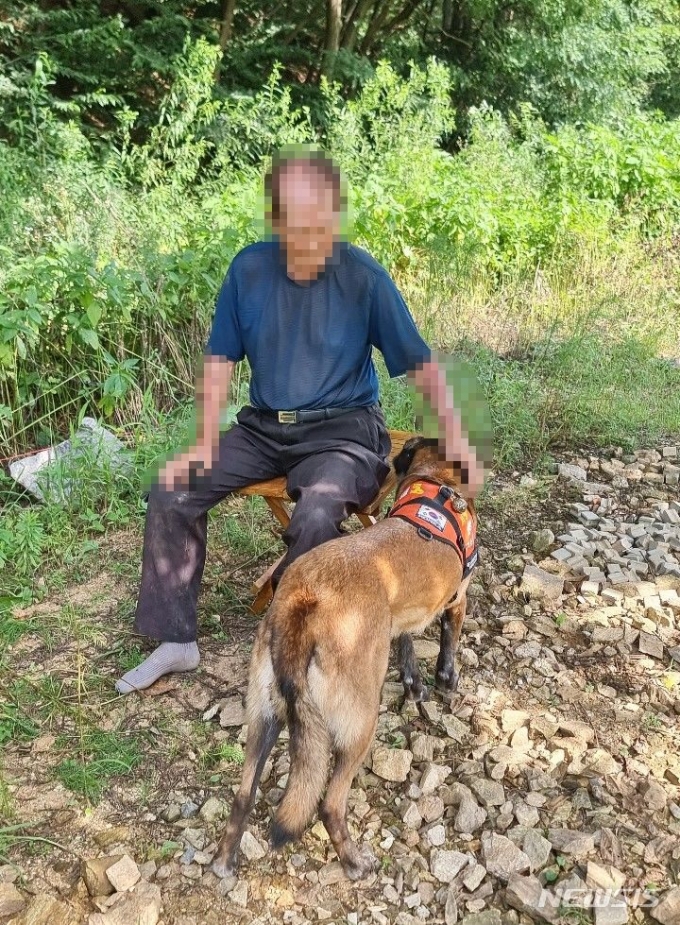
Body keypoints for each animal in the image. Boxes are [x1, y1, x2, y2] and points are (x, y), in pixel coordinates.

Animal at [212, 438, 478, 880]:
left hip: (264, 716)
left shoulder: (399, 620)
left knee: (243, 794)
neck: (435, 482)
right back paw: (354, 861)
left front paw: (415, 688)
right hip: (359, 724)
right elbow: (448, 648)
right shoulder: (457, 602)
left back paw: (224, 861)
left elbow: (407, 651)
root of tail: (305, 598)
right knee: (328, 804)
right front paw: (446, 682)